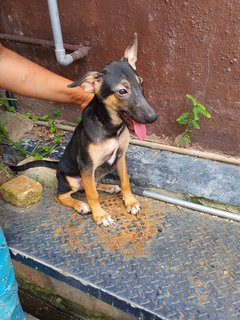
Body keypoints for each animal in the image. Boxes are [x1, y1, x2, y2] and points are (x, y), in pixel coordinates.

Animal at [10, 33, 158, 226]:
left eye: (141, 84)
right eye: (122, 91)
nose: (153, 117)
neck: (111, 128)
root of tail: (58, 165)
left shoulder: (120, 156)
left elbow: (125, 181)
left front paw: (130, 201)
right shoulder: (87, 165)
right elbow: (92, 195)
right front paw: (100, 215)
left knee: (93, 184)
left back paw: (109, 187)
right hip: (71, 179)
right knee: (62, 195)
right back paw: (80, 205)